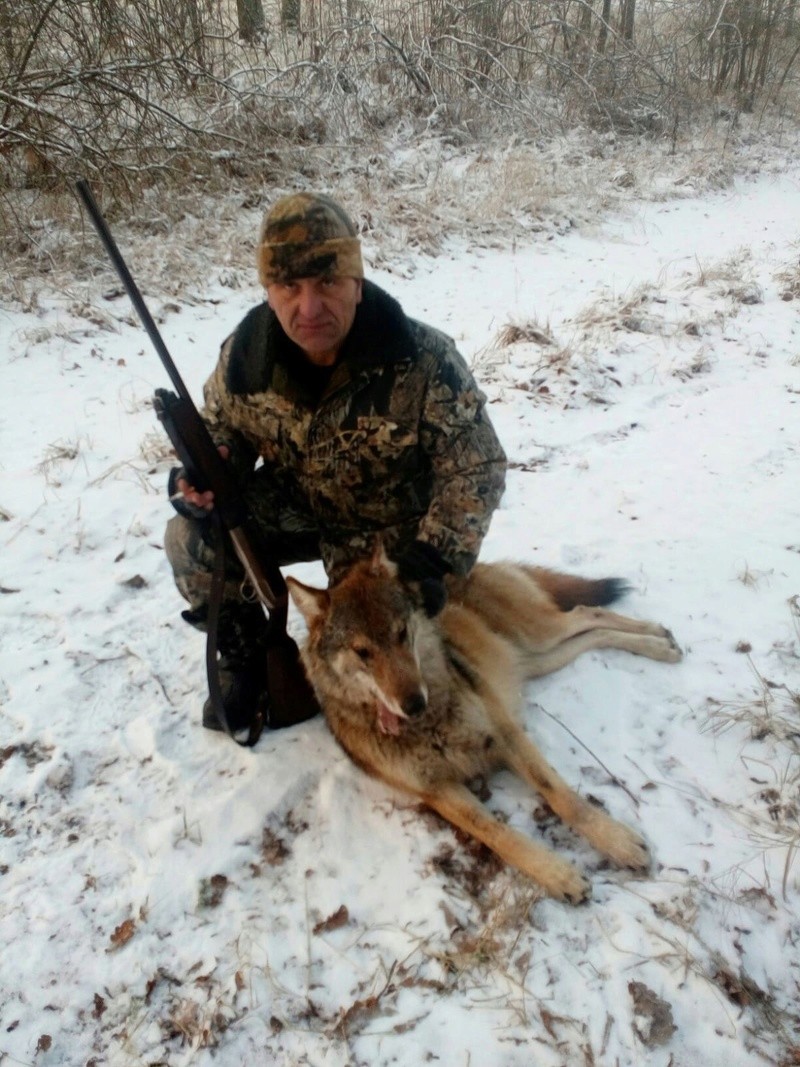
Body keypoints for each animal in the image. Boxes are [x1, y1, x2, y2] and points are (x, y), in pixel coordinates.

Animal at [288, 546, 682, 904]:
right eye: (362, 652)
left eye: (401, 633)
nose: (414, 703)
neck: (429, 727)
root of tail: (474, 567)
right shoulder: (438, 791)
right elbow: (497, 835)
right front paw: (558, 875)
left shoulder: (506, 736)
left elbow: (563, 799)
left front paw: (617, 841)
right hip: (541, 657)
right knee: (592, 633)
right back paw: (659, 643)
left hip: (540, 636)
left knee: (589, 612)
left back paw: (661, 639)